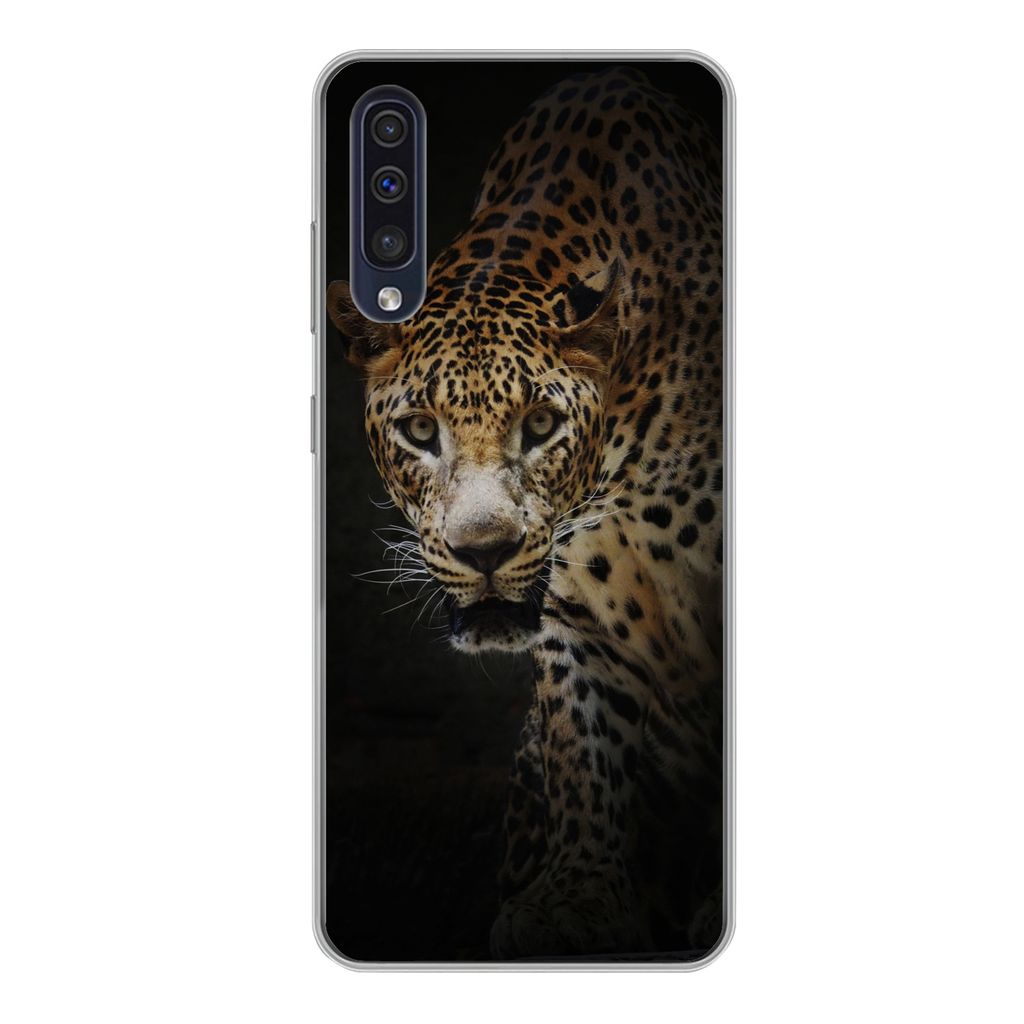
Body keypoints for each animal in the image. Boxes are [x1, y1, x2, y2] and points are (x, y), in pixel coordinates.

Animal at [327, 66, 724, 960]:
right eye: (420, 431)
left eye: (540, 424)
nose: (484, 551)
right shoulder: (574, 612)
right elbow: (585, 740)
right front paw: (576, 898)